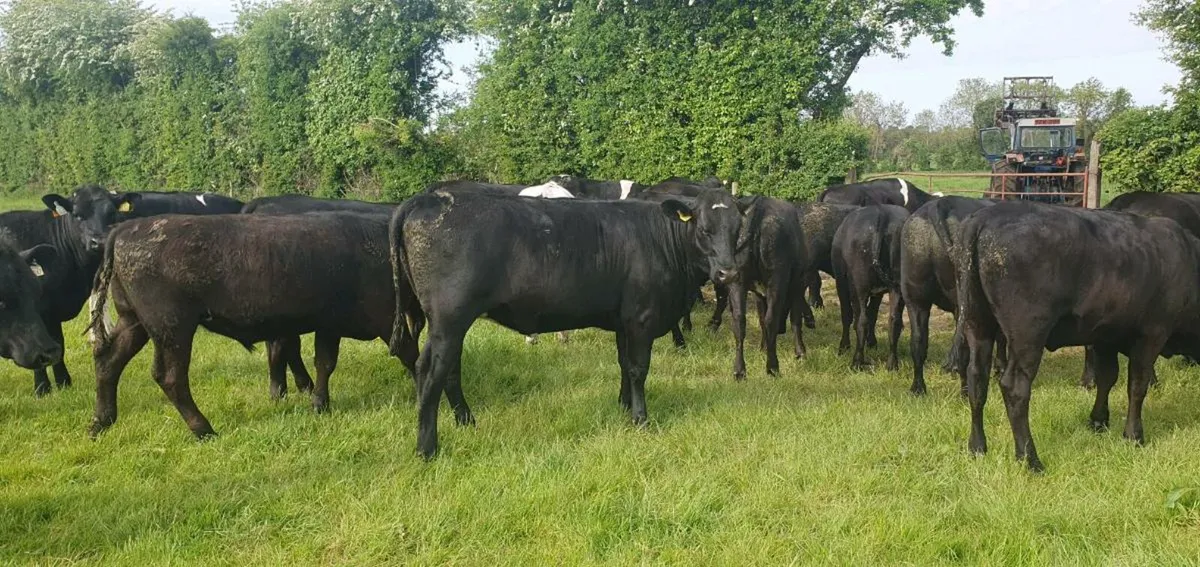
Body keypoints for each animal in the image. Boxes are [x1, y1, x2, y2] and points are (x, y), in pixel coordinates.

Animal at [86, 212, 412, 440]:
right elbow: (408, 353)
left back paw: (100, 423)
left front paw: (320, 404)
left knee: (108, 362)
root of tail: (125, 229)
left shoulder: (329, 324)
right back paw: (204, 429)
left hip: (134, 322)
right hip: (172, 329)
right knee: (169, 376)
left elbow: (324, 363)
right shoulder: (384, 318)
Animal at [389, 188, 737, 459]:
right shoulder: (642, 317)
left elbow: (624, 365)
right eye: (704, 230)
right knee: (432, 371)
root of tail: (431, 197)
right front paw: (640, 419)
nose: (728, 272)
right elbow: (639, 369)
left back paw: (466, 421)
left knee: (445, 369)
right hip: (449, 319)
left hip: (450, 323)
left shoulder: (623, 320)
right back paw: (427, 448)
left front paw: (623, 407)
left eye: (737, 229)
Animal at [832, 205, 910, 371]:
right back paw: (892, 364)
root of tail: (882, 214)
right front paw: (872, 342)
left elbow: (847, 315)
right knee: (894, 321)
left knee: (861, 320)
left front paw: (844, 346)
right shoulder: (878, 292)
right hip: (898, 288)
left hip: (858, 286)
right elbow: (873, 313)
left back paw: (857, 361)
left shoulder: (842, 282)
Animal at [899, 196, 996, 396]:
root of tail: (940, 203)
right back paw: (965, 393)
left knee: (918, 342)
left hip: (915, 298)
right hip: (964, 305)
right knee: (964, 350)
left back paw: (918, 388)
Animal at [954, 201, 1200, 471]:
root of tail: (987, 215)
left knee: (977, 379)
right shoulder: (1152, 334)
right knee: (1015, 387)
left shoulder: (1105, 337)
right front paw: (1134, 436)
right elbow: (1137, 386)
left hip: (978, 323)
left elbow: (1107, 378)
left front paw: (1098, 421)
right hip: (1027, 334)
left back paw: (977, 447)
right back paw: (1030, 459)